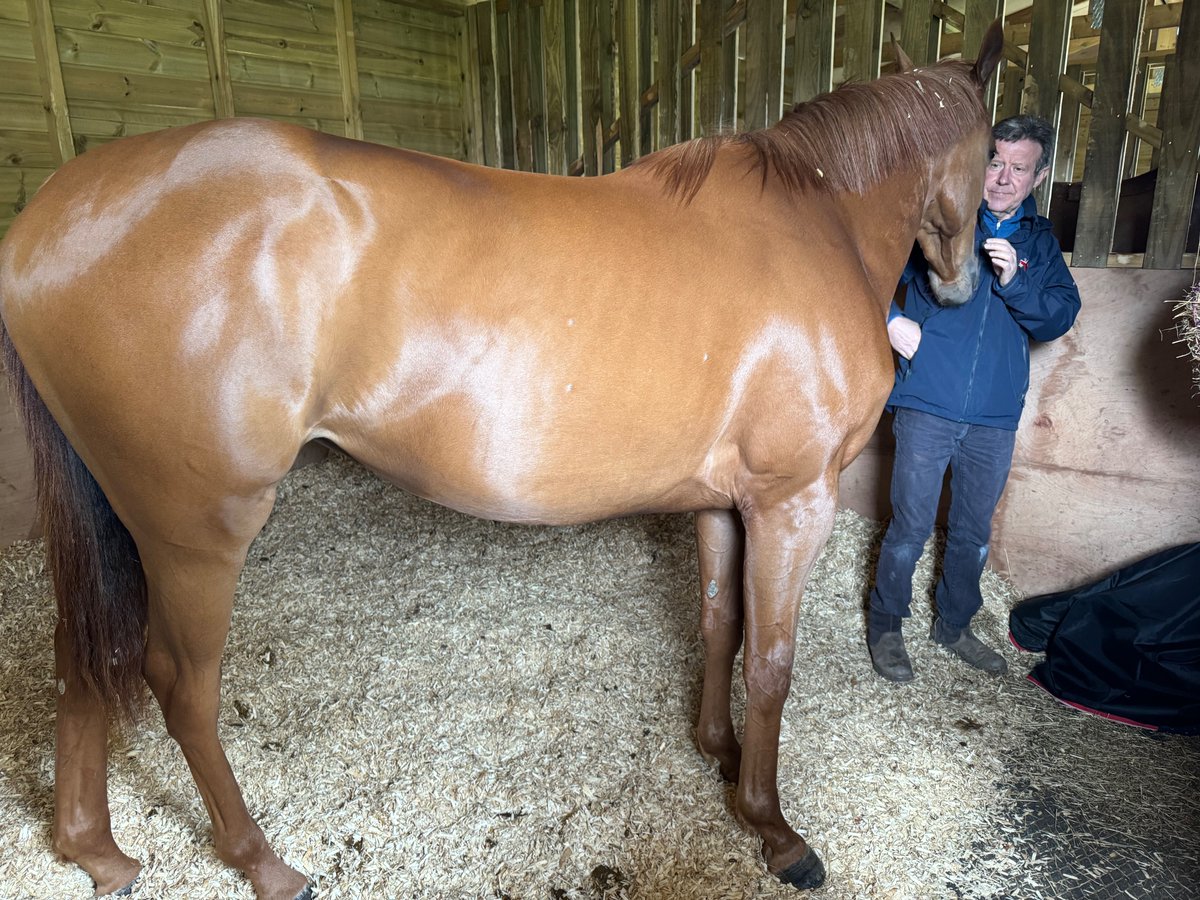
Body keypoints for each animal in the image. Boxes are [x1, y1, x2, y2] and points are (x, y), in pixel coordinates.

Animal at [0, 24, 1003, 897]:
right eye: (994, 150)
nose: (961, 286)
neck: (816, 220)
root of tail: (48, 220)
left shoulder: (726, 500)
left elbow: (721, 625)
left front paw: (717, 753)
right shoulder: (794, 500)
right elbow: (773, 661)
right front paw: (773, 828)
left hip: (119, 515)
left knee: (83, 657)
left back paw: (96, 852)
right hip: (197, 528)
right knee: (177, 684)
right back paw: (262, 862)